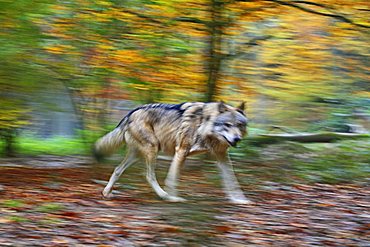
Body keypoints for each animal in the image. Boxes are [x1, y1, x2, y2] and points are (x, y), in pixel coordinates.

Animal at [94, 101, 250, 204]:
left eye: (239, 125)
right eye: (227, 125)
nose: (237, 139)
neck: (204, 124)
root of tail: (130, 113)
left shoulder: (222, 156)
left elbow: (232, 180)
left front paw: (239, 199)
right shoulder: (181, 151)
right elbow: (172, 179)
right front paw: (173, 197)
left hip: (138, 154)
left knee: (117, 169)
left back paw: (106, 193)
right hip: (152, 148)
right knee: (149, 175)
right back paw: (164, 196)